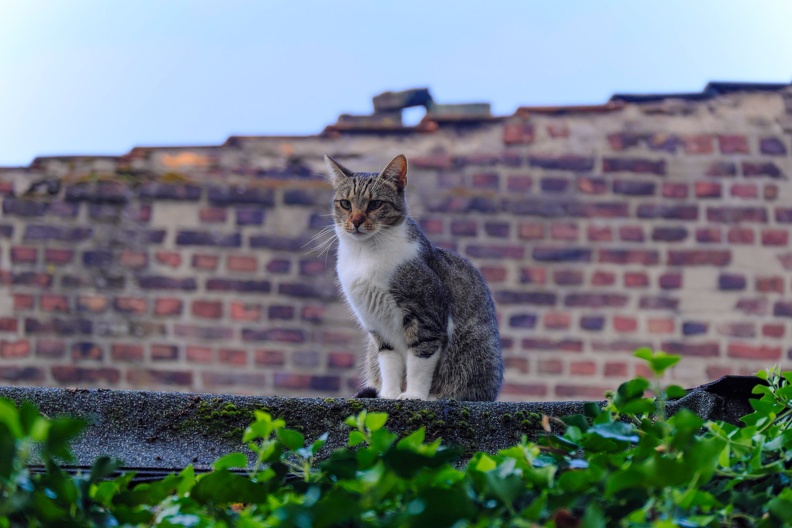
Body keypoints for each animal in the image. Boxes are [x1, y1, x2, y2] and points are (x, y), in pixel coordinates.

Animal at [324, 153, 504, 400]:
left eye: (375, 204)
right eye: (345, 203)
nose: (357, 221)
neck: (365, 254)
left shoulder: (426, 317)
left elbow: (419, 361)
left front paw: (414, 395)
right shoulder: (378, 326)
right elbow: (389, 363)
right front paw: (389, 395)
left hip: (475, 351)